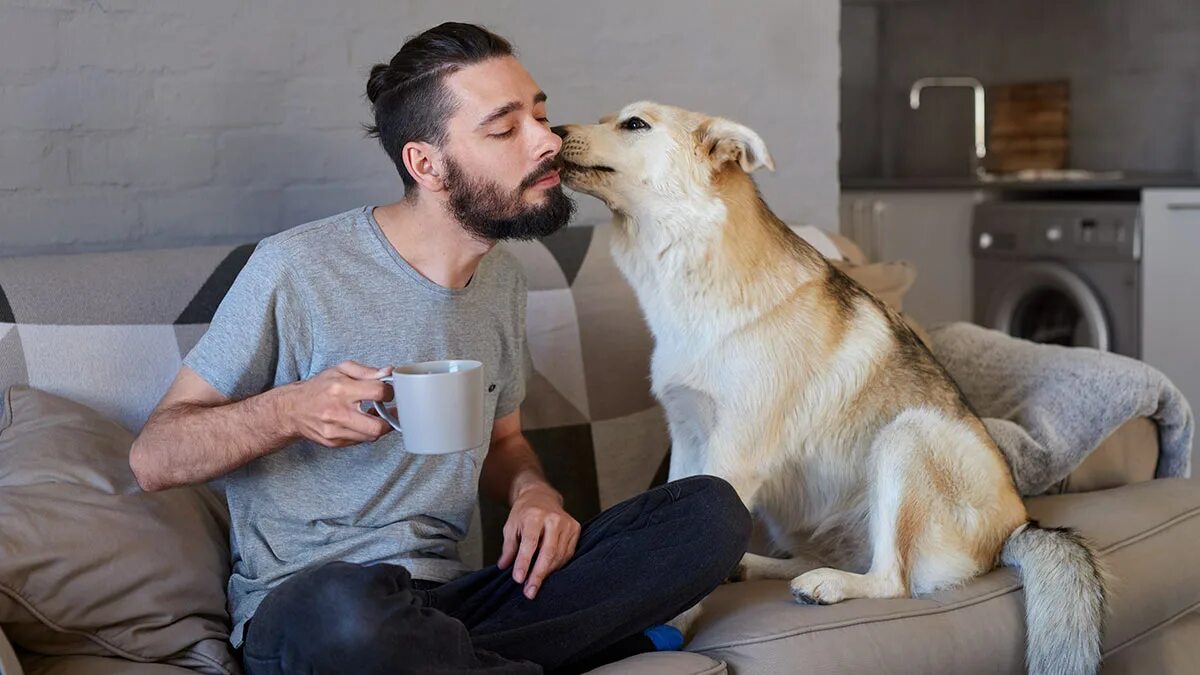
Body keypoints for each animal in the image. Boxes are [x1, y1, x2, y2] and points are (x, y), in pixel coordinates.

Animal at [552, 102, 1104, 667]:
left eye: (634, 125)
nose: (553, 131)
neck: (693, 264)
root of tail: (1019, 526)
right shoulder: (687, 438)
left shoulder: (732, 456)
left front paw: (671, 627)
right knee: (812, 558)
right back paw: (760, 568)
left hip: (905, 436)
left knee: (893, 580)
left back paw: (831, 584)